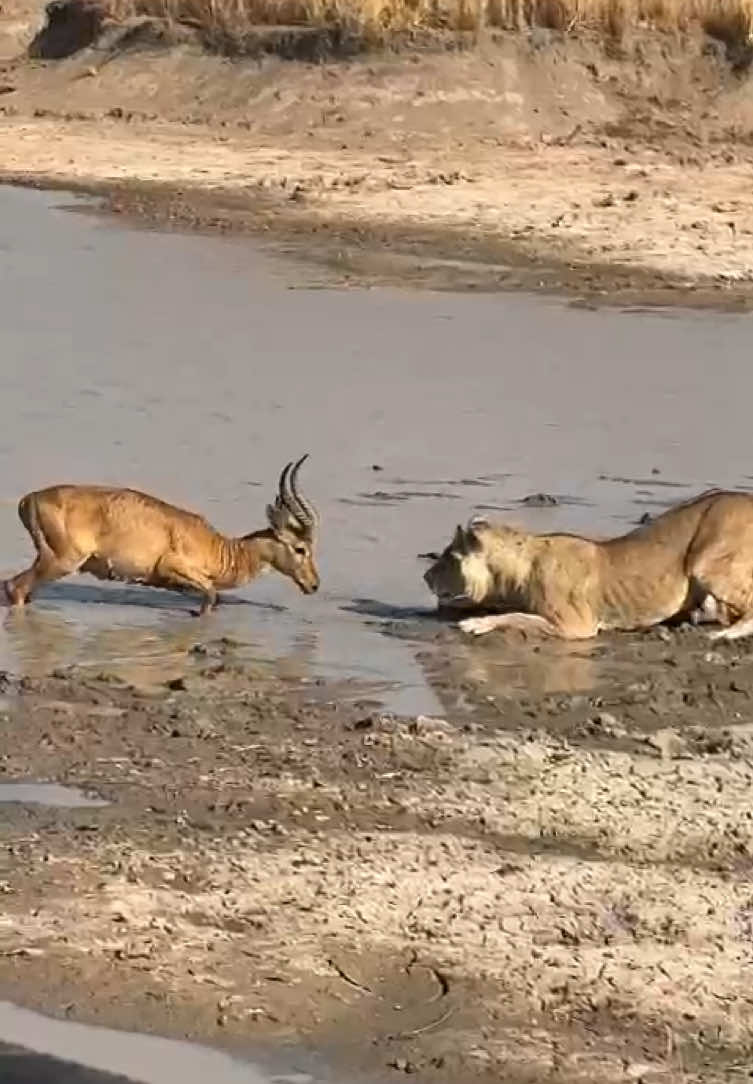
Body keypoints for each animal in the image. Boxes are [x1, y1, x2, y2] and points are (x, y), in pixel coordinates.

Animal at [3, 453, 320, 615]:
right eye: (301, 548)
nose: (314, 585)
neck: (221, 549)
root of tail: (30, 499)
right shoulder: (174, 568)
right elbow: (211, 596)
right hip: (62, 562)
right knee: (14, 587)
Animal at [424, 489, 753, 641]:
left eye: (449, 558)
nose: (426, 577)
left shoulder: (576, 626)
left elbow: (517, 617)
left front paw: (475, 624)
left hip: (705, 561)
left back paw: (726, 633)